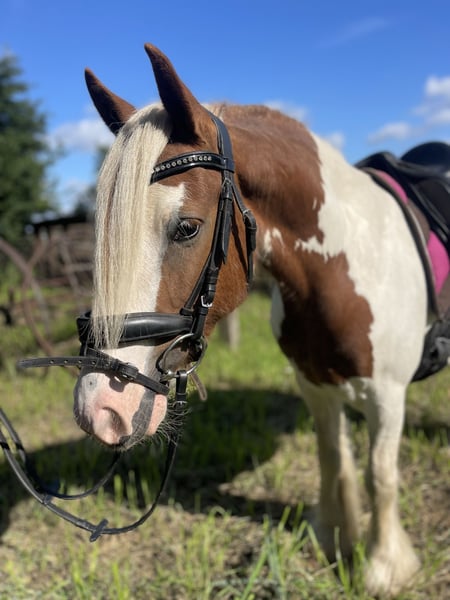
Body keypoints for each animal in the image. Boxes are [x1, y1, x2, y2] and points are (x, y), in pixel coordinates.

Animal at [72, 43, 434, 597]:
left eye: (187, 227)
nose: (101, 410)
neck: (347, 264)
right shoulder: (316, 384)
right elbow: (333, 459)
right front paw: (335, 538)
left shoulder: (387, 394)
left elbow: (380, 474)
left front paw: (383, 567)